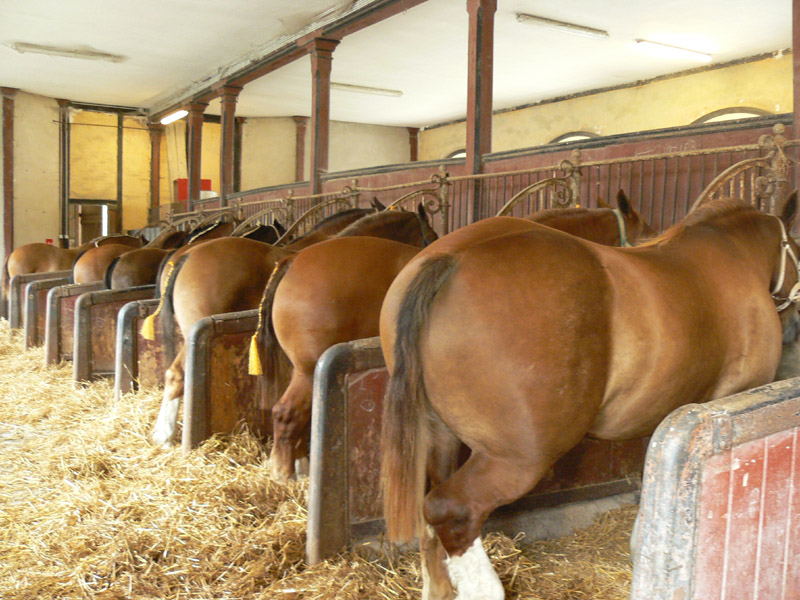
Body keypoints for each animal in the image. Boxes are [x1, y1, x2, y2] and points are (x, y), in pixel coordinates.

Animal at [379, 194, 800, 600]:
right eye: (796, 249)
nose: (794, 325)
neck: (733, 257)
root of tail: (449, 259)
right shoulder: (731, 394)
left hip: (441, 440)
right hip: (516, 459)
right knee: (452, 511)